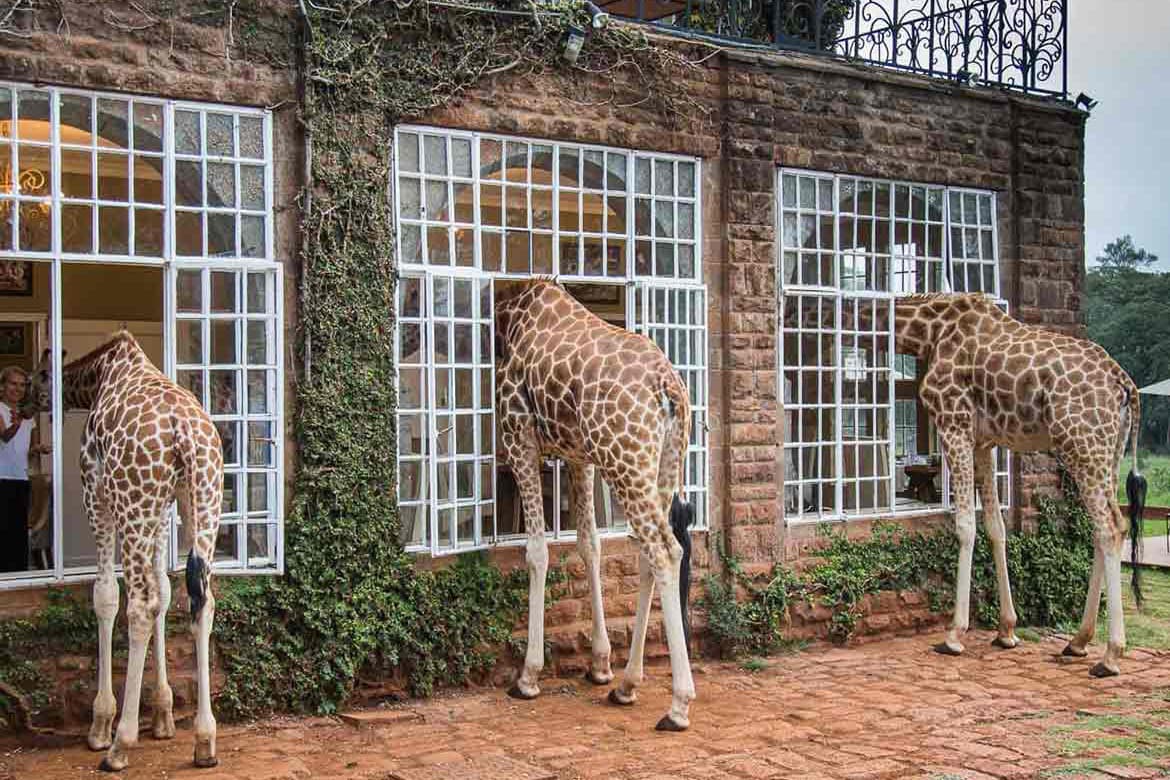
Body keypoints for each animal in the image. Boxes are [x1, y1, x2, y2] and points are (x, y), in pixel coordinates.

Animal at [29, 332, 223, 776]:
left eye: (36, 376)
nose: (26, 403)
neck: (102, 373)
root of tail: (185, 432)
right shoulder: (162, 510)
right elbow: (166, 594)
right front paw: (164, 715)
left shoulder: (96, 494)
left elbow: (105, 596)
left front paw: (102, 724)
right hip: (203, 498)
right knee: (200, 599)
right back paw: (205, 740)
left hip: (134, 505)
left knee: (139, 605)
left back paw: (119, 745)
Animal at [491, 277, 692, 729]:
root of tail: (667, 387)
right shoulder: (578, 456)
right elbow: (590, 544)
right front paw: (600, 664)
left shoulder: (518, 437)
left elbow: (537, 551)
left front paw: (528, 676)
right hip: (662, 462)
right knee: (651, 553)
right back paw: (627, 685)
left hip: (624, 460)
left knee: (665, 550)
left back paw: (678, 705)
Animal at [889, 294, 1146, 678]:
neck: (930, 331)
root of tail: (1126, 385)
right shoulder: (984, 440)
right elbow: (996, 526)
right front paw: (1006, 630)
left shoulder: (952, 422)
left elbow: (965, 525)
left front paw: (954, 635)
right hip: (1109, 454)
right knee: (1108, 528)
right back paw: (1079, 641)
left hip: (1082, 445)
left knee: (1110, 528)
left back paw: (1110, 655)